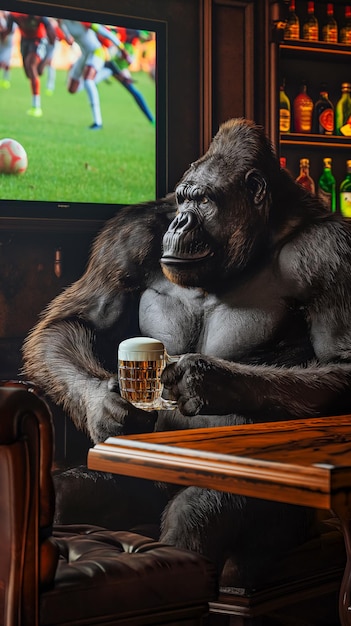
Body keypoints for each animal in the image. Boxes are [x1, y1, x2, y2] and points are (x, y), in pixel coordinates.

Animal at [21, 117, 351, 580]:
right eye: (181, 198)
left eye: (204, 200)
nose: (179, 223)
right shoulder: (129, 233)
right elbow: (74, 321)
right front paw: (107, 408)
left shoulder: (329, 253)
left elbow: (340, 360)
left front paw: (204, 379)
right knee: (70, 494)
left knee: (196, 518)